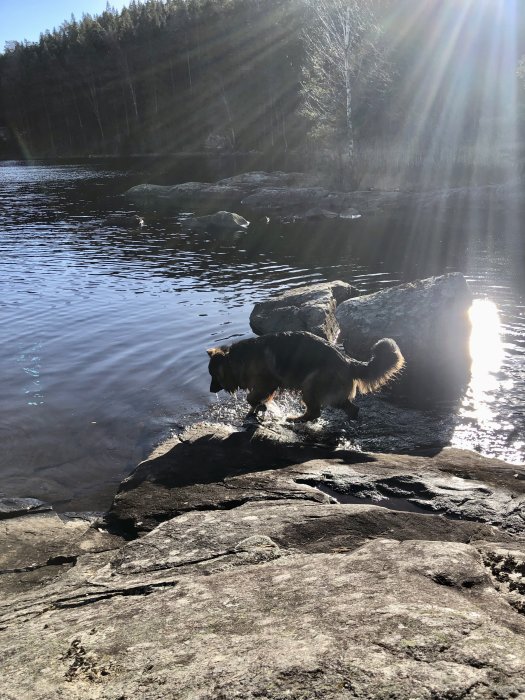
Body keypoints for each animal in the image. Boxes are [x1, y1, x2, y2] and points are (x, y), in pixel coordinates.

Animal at [207, 332, 404, 424]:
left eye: (213, 375)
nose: (210, 389)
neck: (238, 358)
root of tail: (348, 361)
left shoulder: (267, 383)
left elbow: (251, 398)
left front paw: (257, 407)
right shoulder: (265, 386)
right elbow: (255, 400)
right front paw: (255, 410)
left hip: (310, 385)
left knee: (315, 412)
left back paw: (295, 419)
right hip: (332, 395)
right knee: (352, 408)